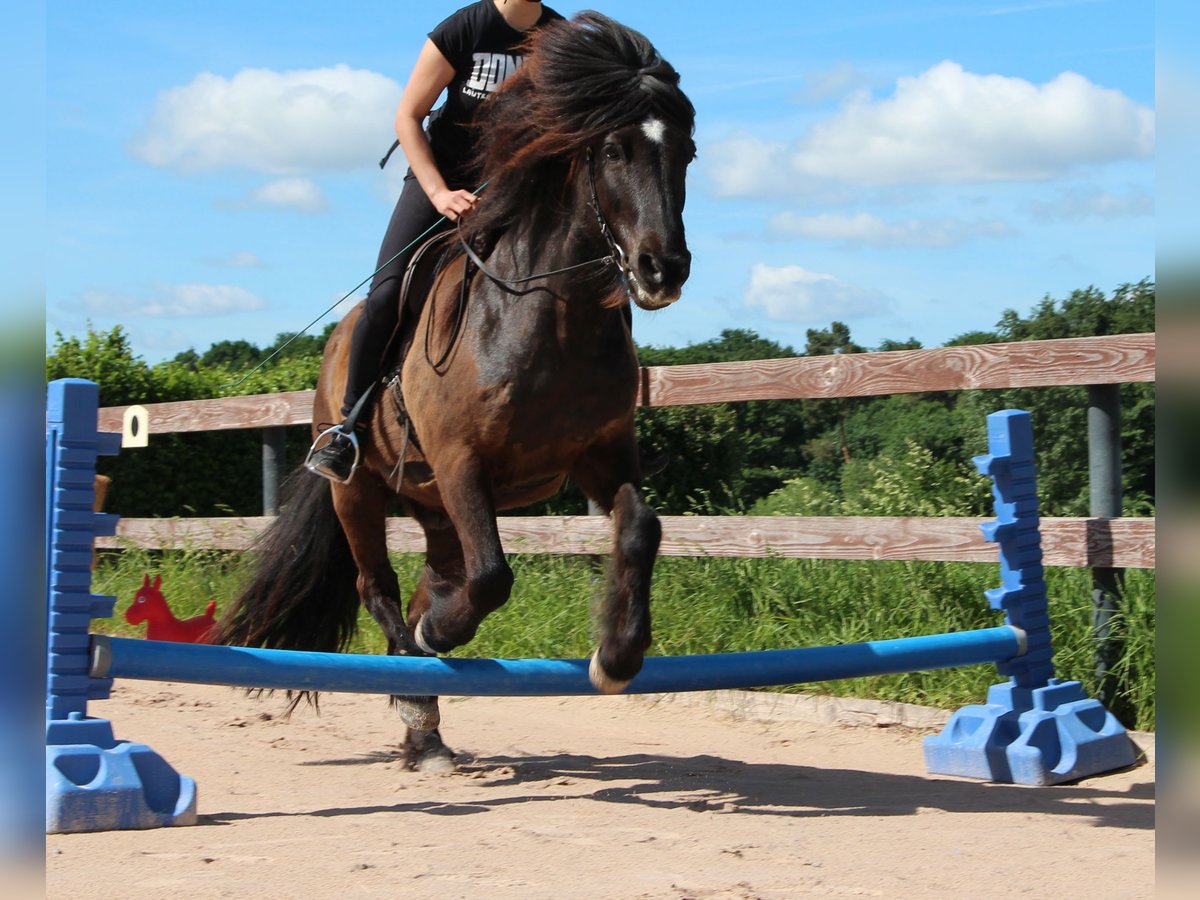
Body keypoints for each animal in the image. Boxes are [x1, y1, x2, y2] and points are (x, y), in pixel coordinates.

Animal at [216, 12, 696, 770]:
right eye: (614, 149)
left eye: (688, 153)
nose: (662, 269)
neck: (552, 313)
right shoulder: (461, 460)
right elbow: (494, 576)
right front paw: (443, 637)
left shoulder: (601, 453)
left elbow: (640, 528)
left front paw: (617, 657)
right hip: (360, 490)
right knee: (379, 587)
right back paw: (416, 690)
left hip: (434, 507)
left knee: (430, 581)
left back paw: (427, 731)